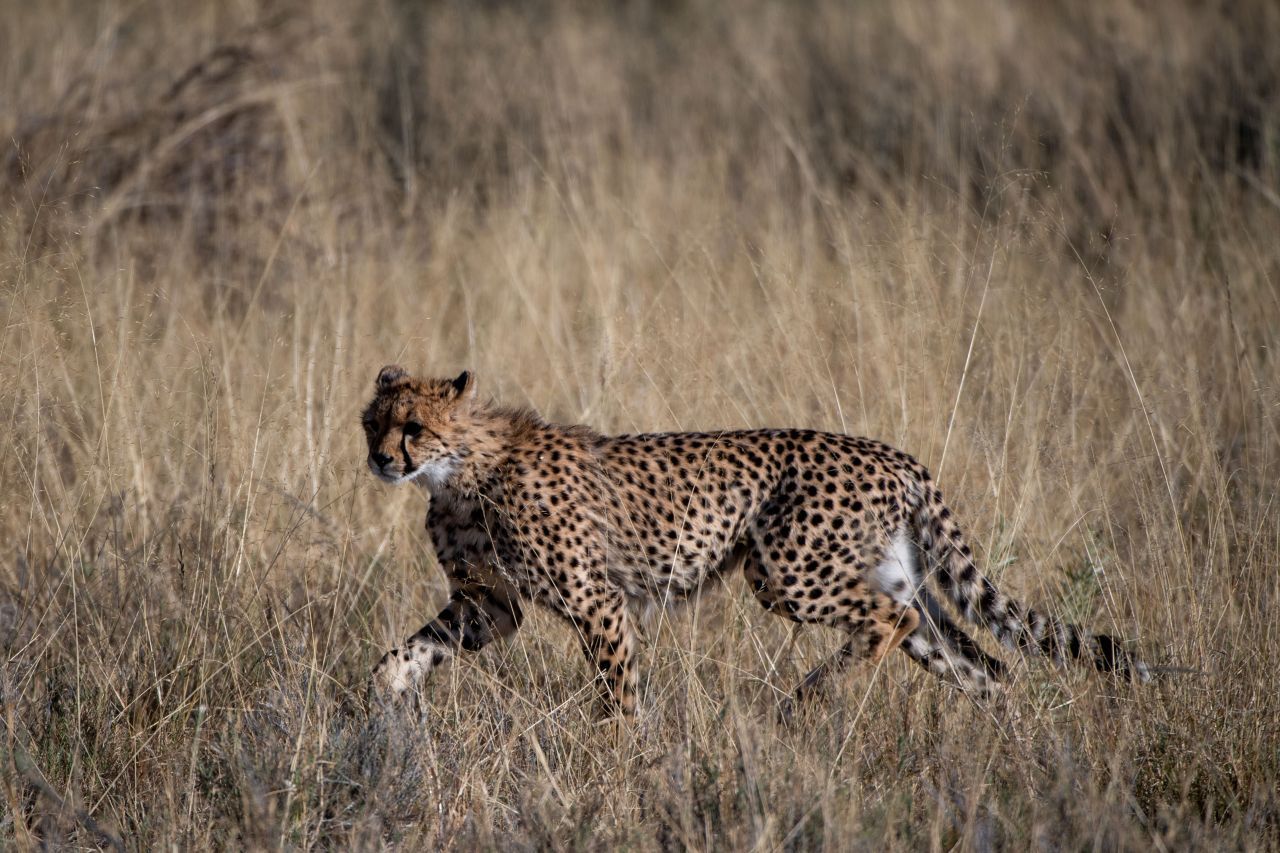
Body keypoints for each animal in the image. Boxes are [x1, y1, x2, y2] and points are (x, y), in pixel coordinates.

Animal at [363, 361, 1152, 712]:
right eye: (373, 422)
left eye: (414, 427)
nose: (380, 460)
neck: (459, 470)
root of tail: (896, 454)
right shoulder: (488, 604)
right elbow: (413, 646)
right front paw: (387, 692)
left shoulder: (598, 603)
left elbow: (619, 693)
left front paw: (622, 755)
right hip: (889, 578)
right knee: (979, 664)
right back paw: (1007, 738)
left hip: (784, 573)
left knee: (889, 622)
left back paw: (803, 699)